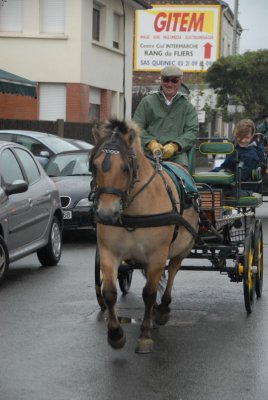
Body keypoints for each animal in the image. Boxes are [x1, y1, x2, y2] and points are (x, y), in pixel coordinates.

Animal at [89, 119, 199, 354]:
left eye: (125, 167)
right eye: (94, 166)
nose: (106, 214)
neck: (135, 209)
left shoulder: (158, 255)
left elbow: (148, 293)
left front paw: (145, 336)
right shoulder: (108, 252)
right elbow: (109, 292)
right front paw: (115, 335)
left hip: (183, 248)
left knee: (173, 271)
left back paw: (163, 309)